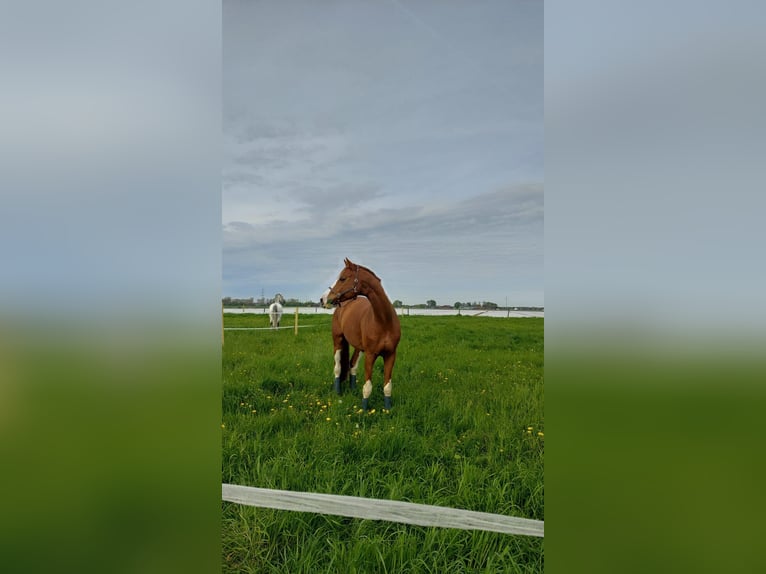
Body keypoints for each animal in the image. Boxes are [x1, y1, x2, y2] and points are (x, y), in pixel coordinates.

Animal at [321, 258, 401, 411]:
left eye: (342, 278)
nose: (323, 299)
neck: (383, 321)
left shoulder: (390, 355)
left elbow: (387, 386)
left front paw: (387, 410)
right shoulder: (370, 355)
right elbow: (367, 387)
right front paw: (364, 410)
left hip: (359, 347)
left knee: (352, 365)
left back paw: (352, 390)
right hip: (338, 341)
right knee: (338, 368)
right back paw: (338, 392)